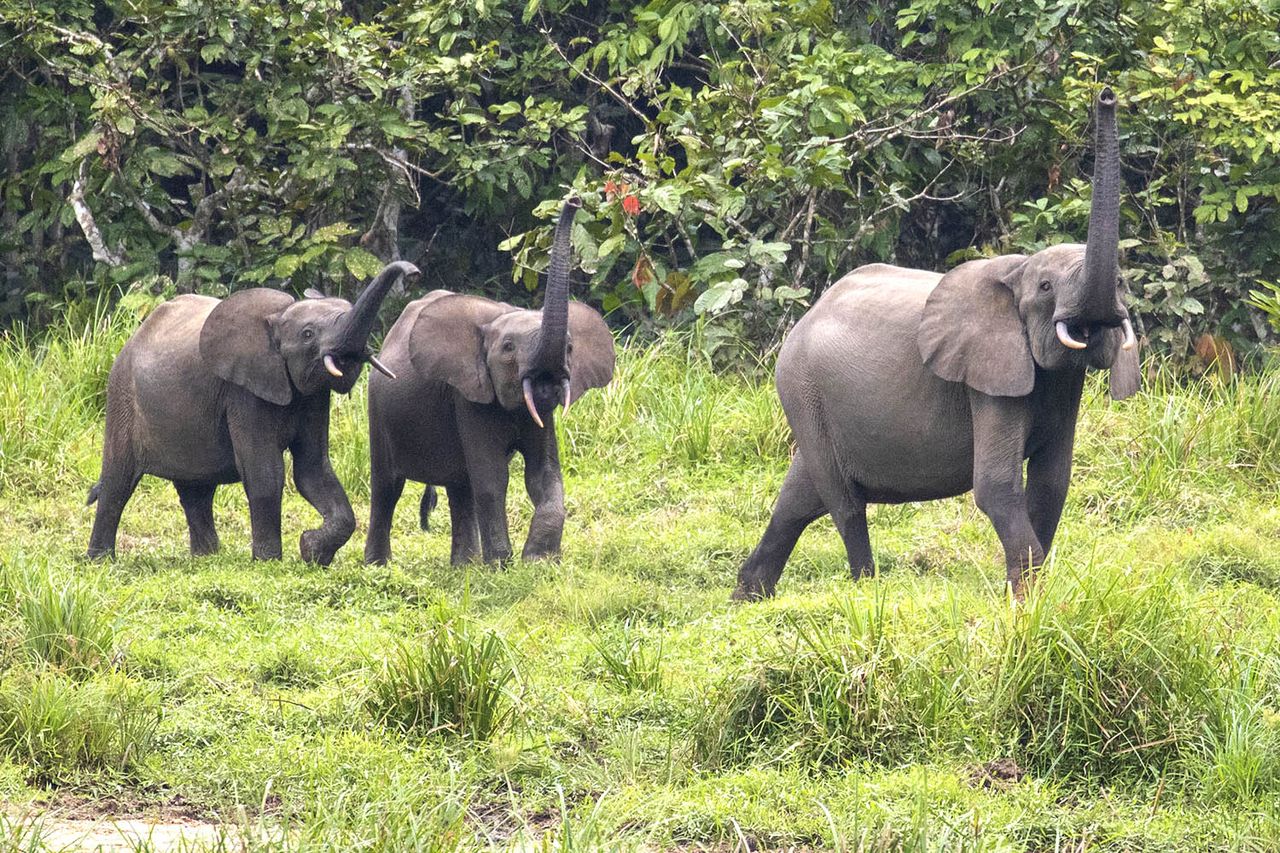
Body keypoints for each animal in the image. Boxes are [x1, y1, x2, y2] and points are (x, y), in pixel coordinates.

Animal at [86, 261, 419, 564]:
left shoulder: (312, 397)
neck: (277, 318)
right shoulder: (243, 391)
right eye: (308, 334)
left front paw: (311, 550)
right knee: (118, 481)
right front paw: (270, 561)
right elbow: (265, 472)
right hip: (123, 394)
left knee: (196, 490)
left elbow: (313, 468)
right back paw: (101, 561)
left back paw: (207, 558)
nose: (413, 273)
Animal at [364, 197, 615, 566]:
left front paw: (539, 560)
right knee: (387, 487)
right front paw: (502, 564)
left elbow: (544, 475)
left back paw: (465, 568)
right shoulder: (468, 395)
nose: (574, 200)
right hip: (377, 407)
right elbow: (493, 477)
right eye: (508, 348)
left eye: (570, 348)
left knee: (460, 486)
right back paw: (378, 566)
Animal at [733, 87, 1140, 601]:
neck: (1015, 271)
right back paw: (866, 588)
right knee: (843, 502)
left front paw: (1034, 597)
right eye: (1046, 287)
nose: (1106, 95)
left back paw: (748, 598)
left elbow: (1052, 484)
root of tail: (807, 316)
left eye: (1123, 282)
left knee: (800, 497)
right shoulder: (986, 379)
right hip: (800, 389)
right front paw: (1026, 602)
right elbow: (996, 486)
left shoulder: (1063, 384)